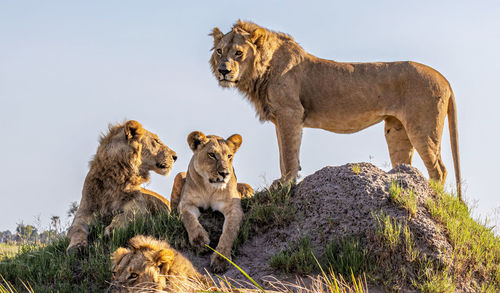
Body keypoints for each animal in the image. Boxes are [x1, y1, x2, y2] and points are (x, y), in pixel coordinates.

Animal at [65, 120, 177, 252]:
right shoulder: (84, 212)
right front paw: (76, 246)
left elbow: (124, 215)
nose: (175, 156)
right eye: (156, 140)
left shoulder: (139, 207)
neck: (116, 177)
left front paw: (113, 230)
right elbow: (76, 229)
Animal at [171, 130, 250, 272]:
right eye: (212, 155)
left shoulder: (233, 208)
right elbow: (189, 219)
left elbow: (229, 231)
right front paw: (200, 241)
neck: (209, 186)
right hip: (179, 175)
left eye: (229, 156)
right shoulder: (186, 204)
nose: (225, 173)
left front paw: (221, 259)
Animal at [209, 20, 462, 198]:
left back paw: (434, 197)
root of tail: (444, 78)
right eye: (220, 51)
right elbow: (283, 154)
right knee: (406, 165)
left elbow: (289, 154)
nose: (223, 71)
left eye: (238, 52)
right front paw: (282, 182)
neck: (260, 72)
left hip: (422, 128)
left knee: (439, 169)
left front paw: (286, 184)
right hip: (397, 130)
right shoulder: (280, 118)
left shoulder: (291, 112)